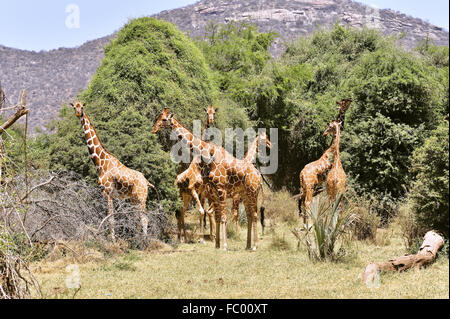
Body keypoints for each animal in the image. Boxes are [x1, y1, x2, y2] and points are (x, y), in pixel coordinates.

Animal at [71, 101, 158, 241]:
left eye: (82, 107)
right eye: (74, 107)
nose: (79, 114)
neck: (101, 163)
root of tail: (147, 182)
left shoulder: (108, 192)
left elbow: (111, 219)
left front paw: (112, 240)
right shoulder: (105, 194)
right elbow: (108, 218)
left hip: (141, 198)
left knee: (144, 217)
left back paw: (144, 240)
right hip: (134, 199)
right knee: (138, 217)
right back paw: (136, 239)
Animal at [153, 109, 268, 251]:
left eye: (164, 119)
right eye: (158, 117)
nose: (154, 129)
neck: (210, 154)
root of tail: (259, 176)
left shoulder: (221, 188)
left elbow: (222, 217)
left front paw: (223, 245)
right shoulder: (214, 190)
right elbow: (217, 216)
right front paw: (217, 244)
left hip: (252, 192)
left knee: (255, 214)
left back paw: (254, 246)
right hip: (243, 194)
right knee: (249, 214)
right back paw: (247, 245)